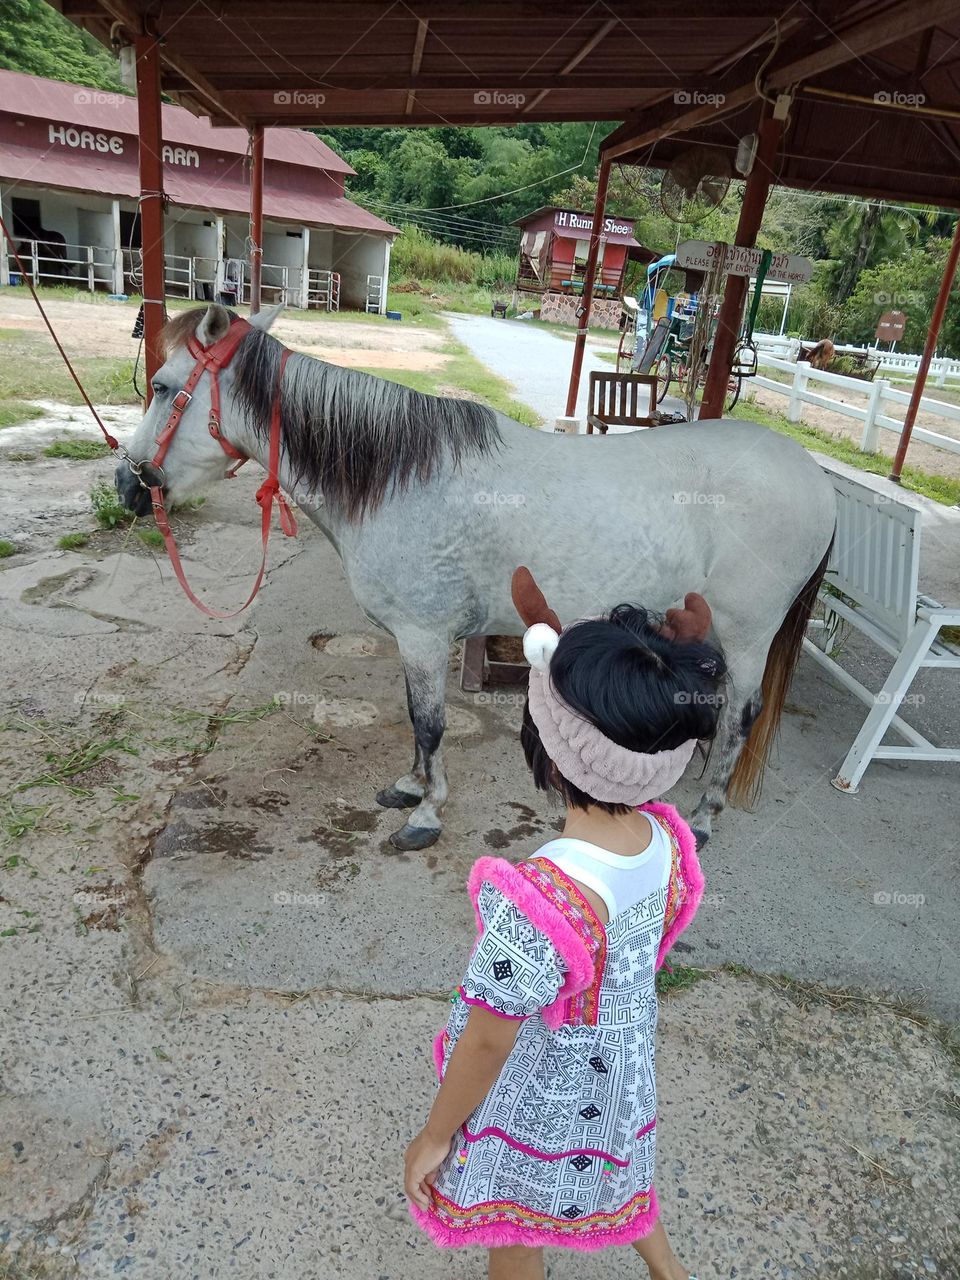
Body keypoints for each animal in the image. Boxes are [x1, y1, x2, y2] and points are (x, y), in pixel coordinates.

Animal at [116, 302, 839, 849]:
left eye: (162, 386)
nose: (127, 486)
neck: (397, 478)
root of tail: (814, 476)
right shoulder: (417, 641)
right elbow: (416, 719)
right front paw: (410, 787)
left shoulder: (423, 635)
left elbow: (430, 722)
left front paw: (425, 813)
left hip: (747, 632)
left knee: (740, 714)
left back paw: (705, 816)